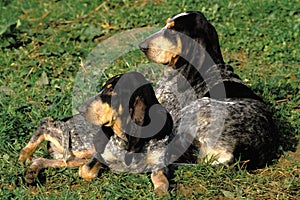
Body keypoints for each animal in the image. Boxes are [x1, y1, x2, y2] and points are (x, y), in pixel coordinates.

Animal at [18, 71, 172, 194]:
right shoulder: (99, 156)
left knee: (45, 159)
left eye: (112, 91)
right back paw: (25, 154)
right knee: (45, 123)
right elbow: (87, 171)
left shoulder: (159, 166)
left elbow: (162, 182)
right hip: (76, 143)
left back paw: (32, 171)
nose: (80, 108)